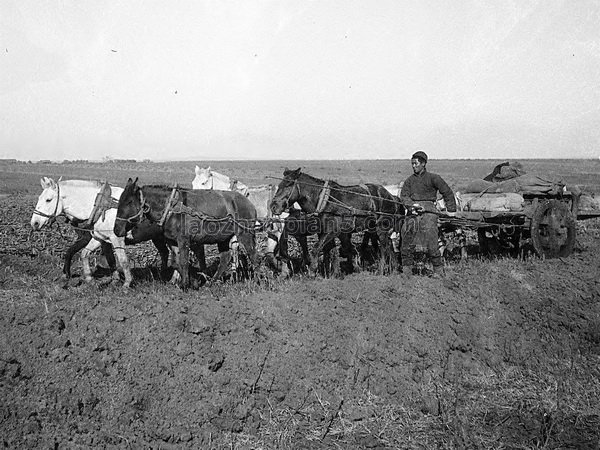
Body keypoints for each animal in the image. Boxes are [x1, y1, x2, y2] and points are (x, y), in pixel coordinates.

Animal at [115, 178, 258, 288]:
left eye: (129, 202)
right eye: (120, 201)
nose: (116, 229)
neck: (171, 207)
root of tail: (249, 203)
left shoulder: (184, 240)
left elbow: (183, 261)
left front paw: (185, 284)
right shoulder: (172, 241)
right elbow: (175, 262)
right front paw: (192, 280)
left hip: (245, 234)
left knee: (252, 255)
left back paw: (258, 280)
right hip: (223, 238)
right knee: (225, 259)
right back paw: (211, 282)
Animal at [268, 169, 404, 274]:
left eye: (289, 184)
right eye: (280, 184)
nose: (273, 206)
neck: (324, 200)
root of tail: (392, 197)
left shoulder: (333, 231)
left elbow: (317, 248)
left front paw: (312, 271)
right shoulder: (326, 232)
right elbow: (333, 251)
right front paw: (335, 273)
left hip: (381, 227)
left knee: (384, 247)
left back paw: (381, 270)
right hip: (374, 228)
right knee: (390, 245)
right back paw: (394, 269)